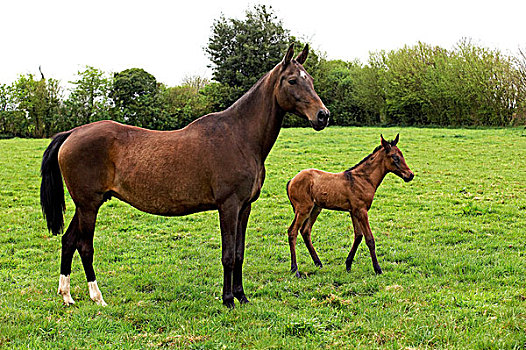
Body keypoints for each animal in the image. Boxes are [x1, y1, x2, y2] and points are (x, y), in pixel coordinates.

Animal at [286, 133, 414, 276]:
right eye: (395, 157)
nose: (410, 175)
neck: (363, 179)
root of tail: (291, 181)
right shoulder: (361, 211)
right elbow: (369, 239)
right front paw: (378, 269)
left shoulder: (354, 211)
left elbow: (358, 236)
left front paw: (348, 265)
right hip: (303, 209)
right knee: (292, 232)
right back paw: (295, 269)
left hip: (315, 208)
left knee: (305, 231)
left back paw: (318, 263)